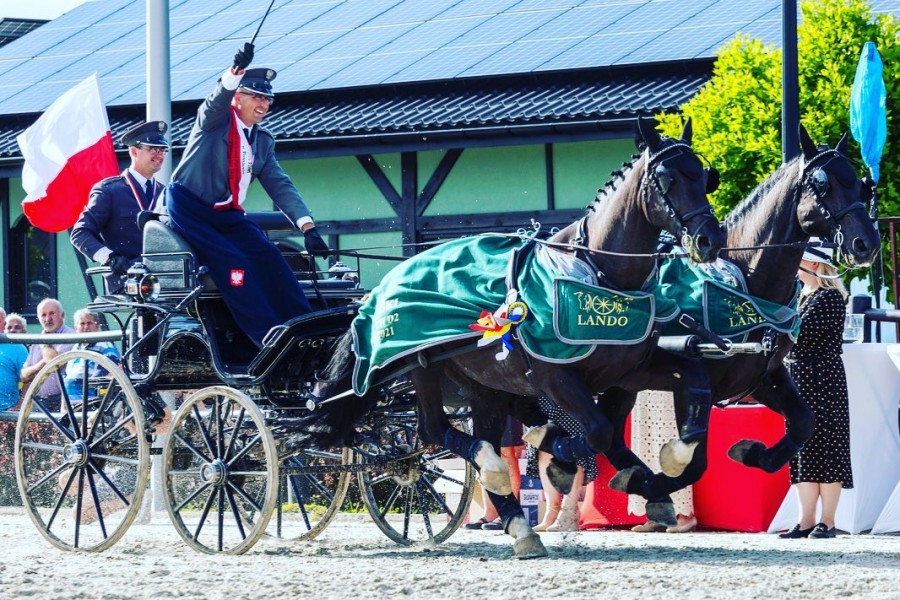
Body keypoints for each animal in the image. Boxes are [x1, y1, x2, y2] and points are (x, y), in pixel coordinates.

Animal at [302, 117, 724, 556]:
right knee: (434, 430)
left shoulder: (628, 370)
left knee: (481, 433)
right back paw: (500, 475)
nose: (710, 239)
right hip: (422, 367)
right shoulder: (554, 376)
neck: (596, 275)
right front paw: (562, 457)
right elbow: (598, 431)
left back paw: (518, 518)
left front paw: (667, 465)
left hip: (482, 384)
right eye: (667, 177)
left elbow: (690, 396)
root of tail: (383, 282)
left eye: (705, 175)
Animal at [540, 124, 880, 516]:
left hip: (619, 381)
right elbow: (696, 460)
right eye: (823, 183)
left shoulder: (761, 376)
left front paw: (753, 453)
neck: (745, 278)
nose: (866, 243)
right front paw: (658, 482)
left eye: (859, 183)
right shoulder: (691, 381)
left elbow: (804, 423)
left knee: (602, 433)